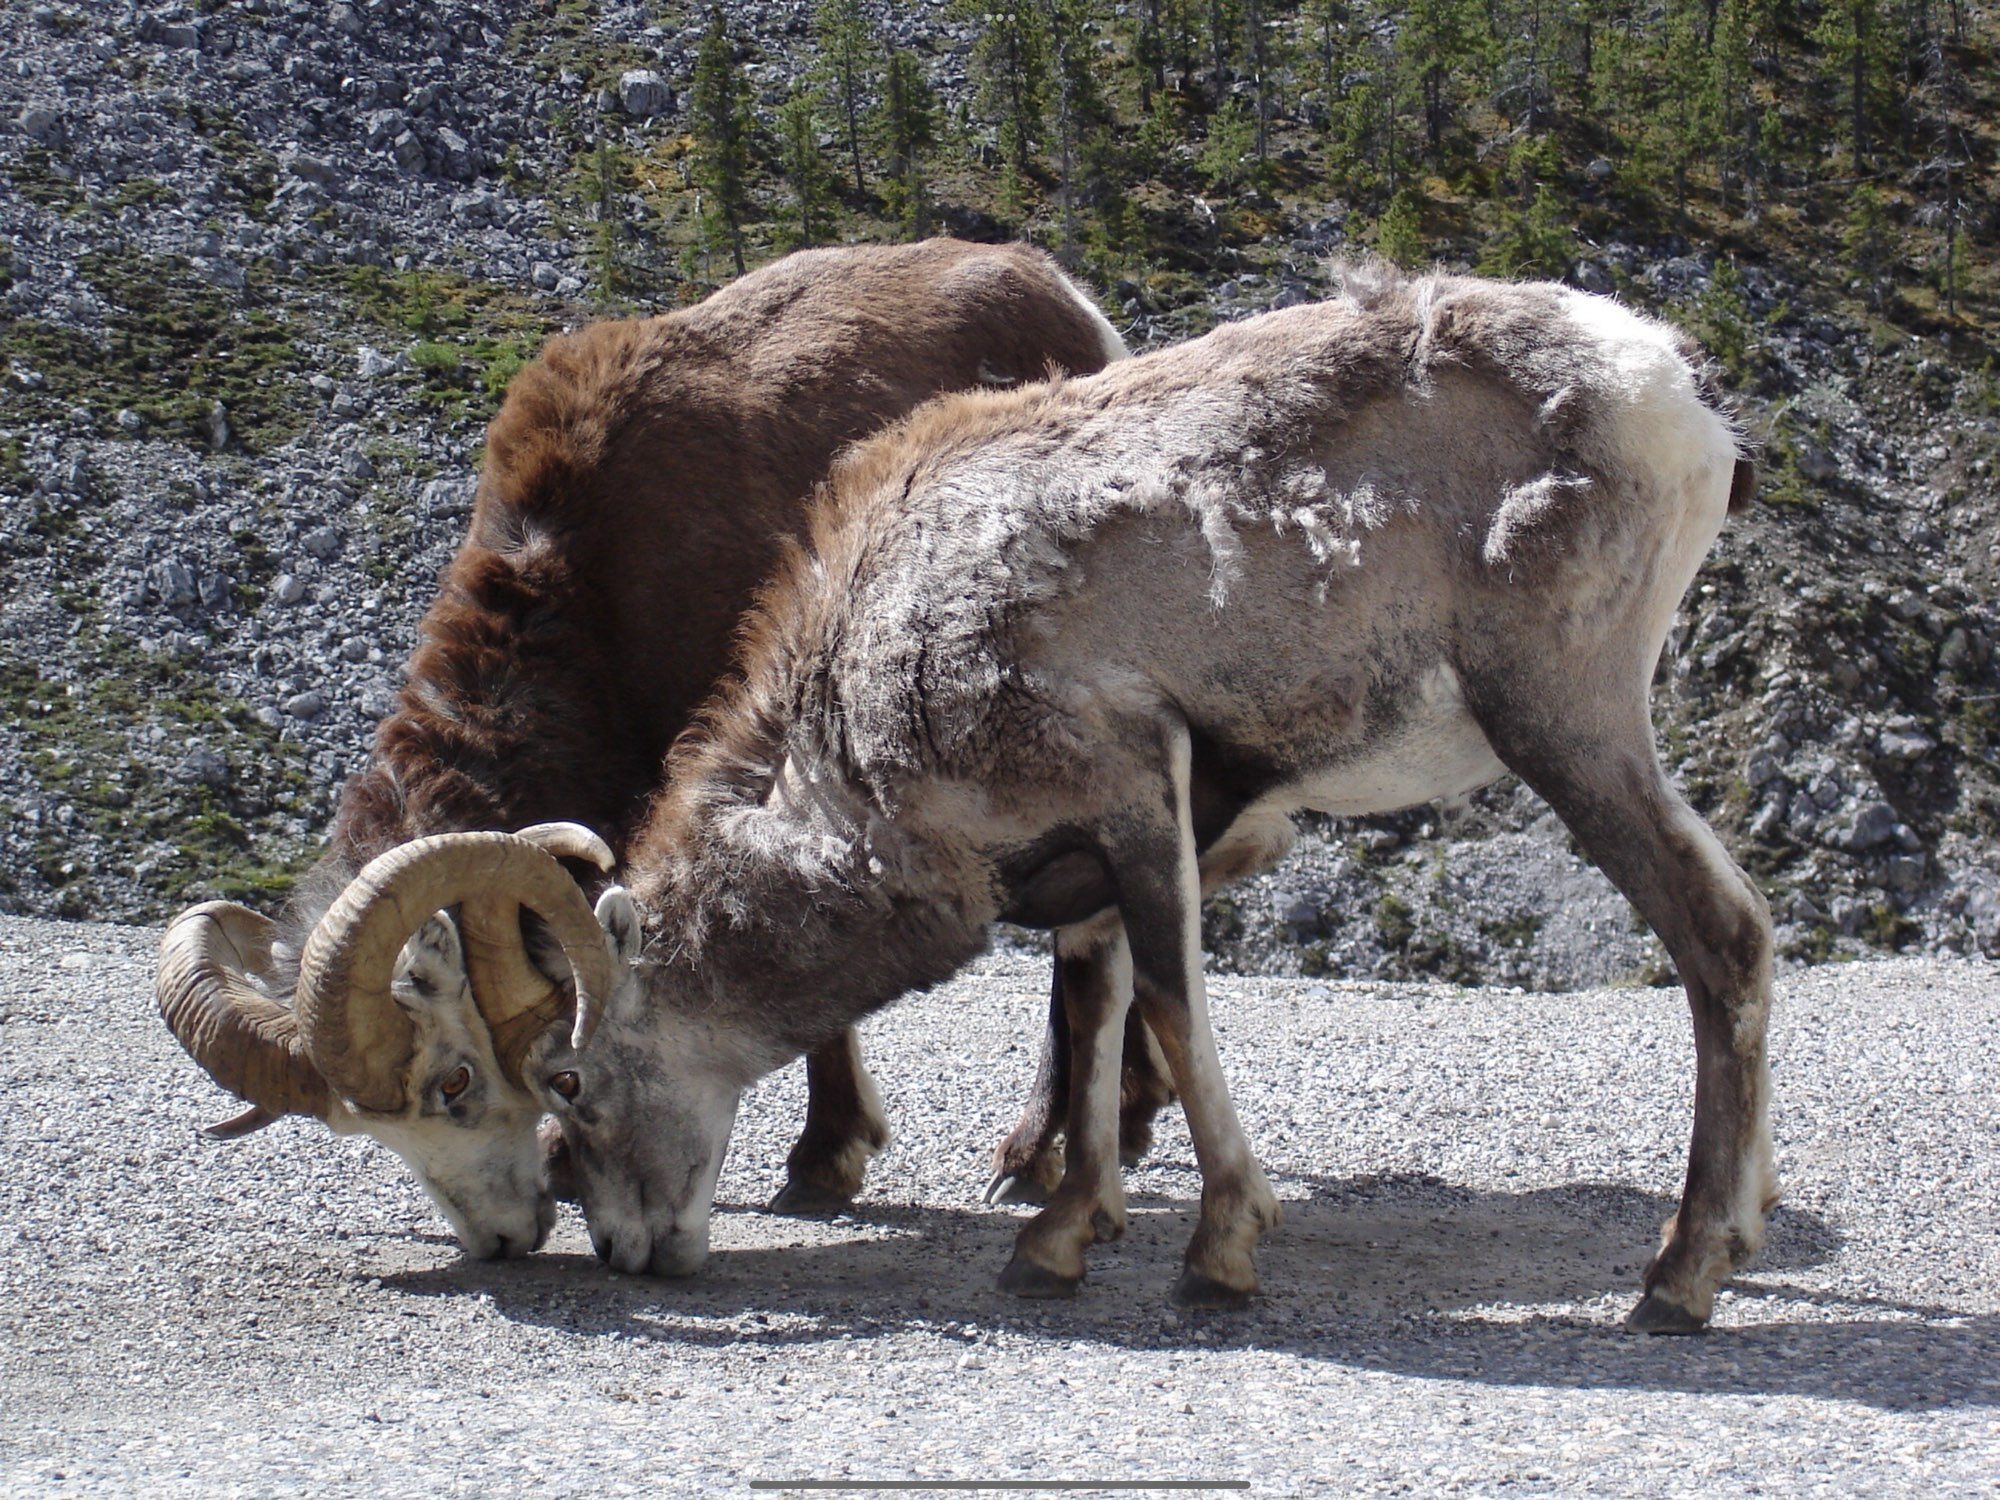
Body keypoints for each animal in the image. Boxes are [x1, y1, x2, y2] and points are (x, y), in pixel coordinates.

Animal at [154, 241, 1128, 1264]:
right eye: (363, 1129)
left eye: (454, 1082)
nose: (503, 1238)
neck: (597, 598)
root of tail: (1060, 294)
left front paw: (821, 1165)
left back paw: (1030, 1161)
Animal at [286, 264, 1768, 1336]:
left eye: (566, 1078)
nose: (624, 1249)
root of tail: (1666, 388)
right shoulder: (1090, 851)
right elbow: (1100, 1002)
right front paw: (1058, 1238)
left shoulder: (1138, 796)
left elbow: (1163, 1001)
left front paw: (1215, 1257)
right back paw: (1738, 1236)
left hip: (1567, 723)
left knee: (1722, 940)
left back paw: (1679, 1279)